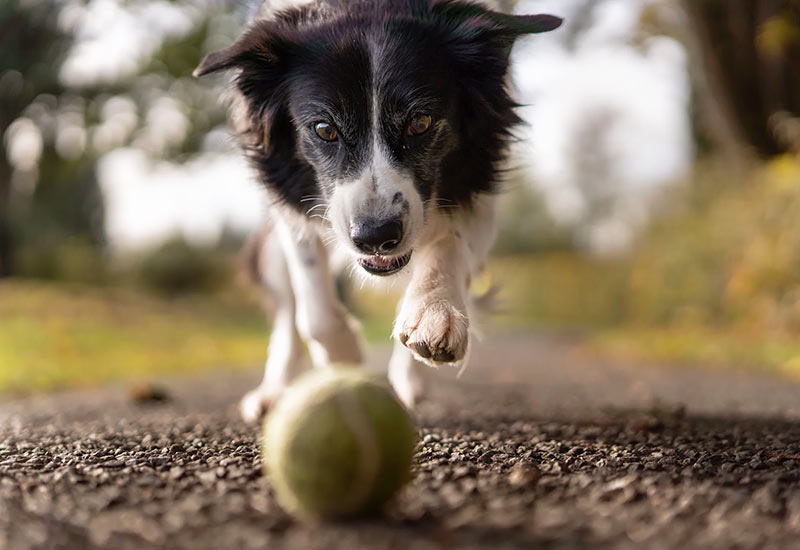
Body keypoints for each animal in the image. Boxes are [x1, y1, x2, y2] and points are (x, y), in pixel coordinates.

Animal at [195, 0, 560, 422]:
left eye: (420, 122)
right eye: (324, 129)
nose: (375, 238)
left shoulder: (479, 186)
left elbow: (449, 244)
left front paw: (434, 313)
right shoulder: (290, 204)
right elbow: (314, 310)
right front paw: (346, 361)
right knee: (287, 314)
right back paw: (272, 393)